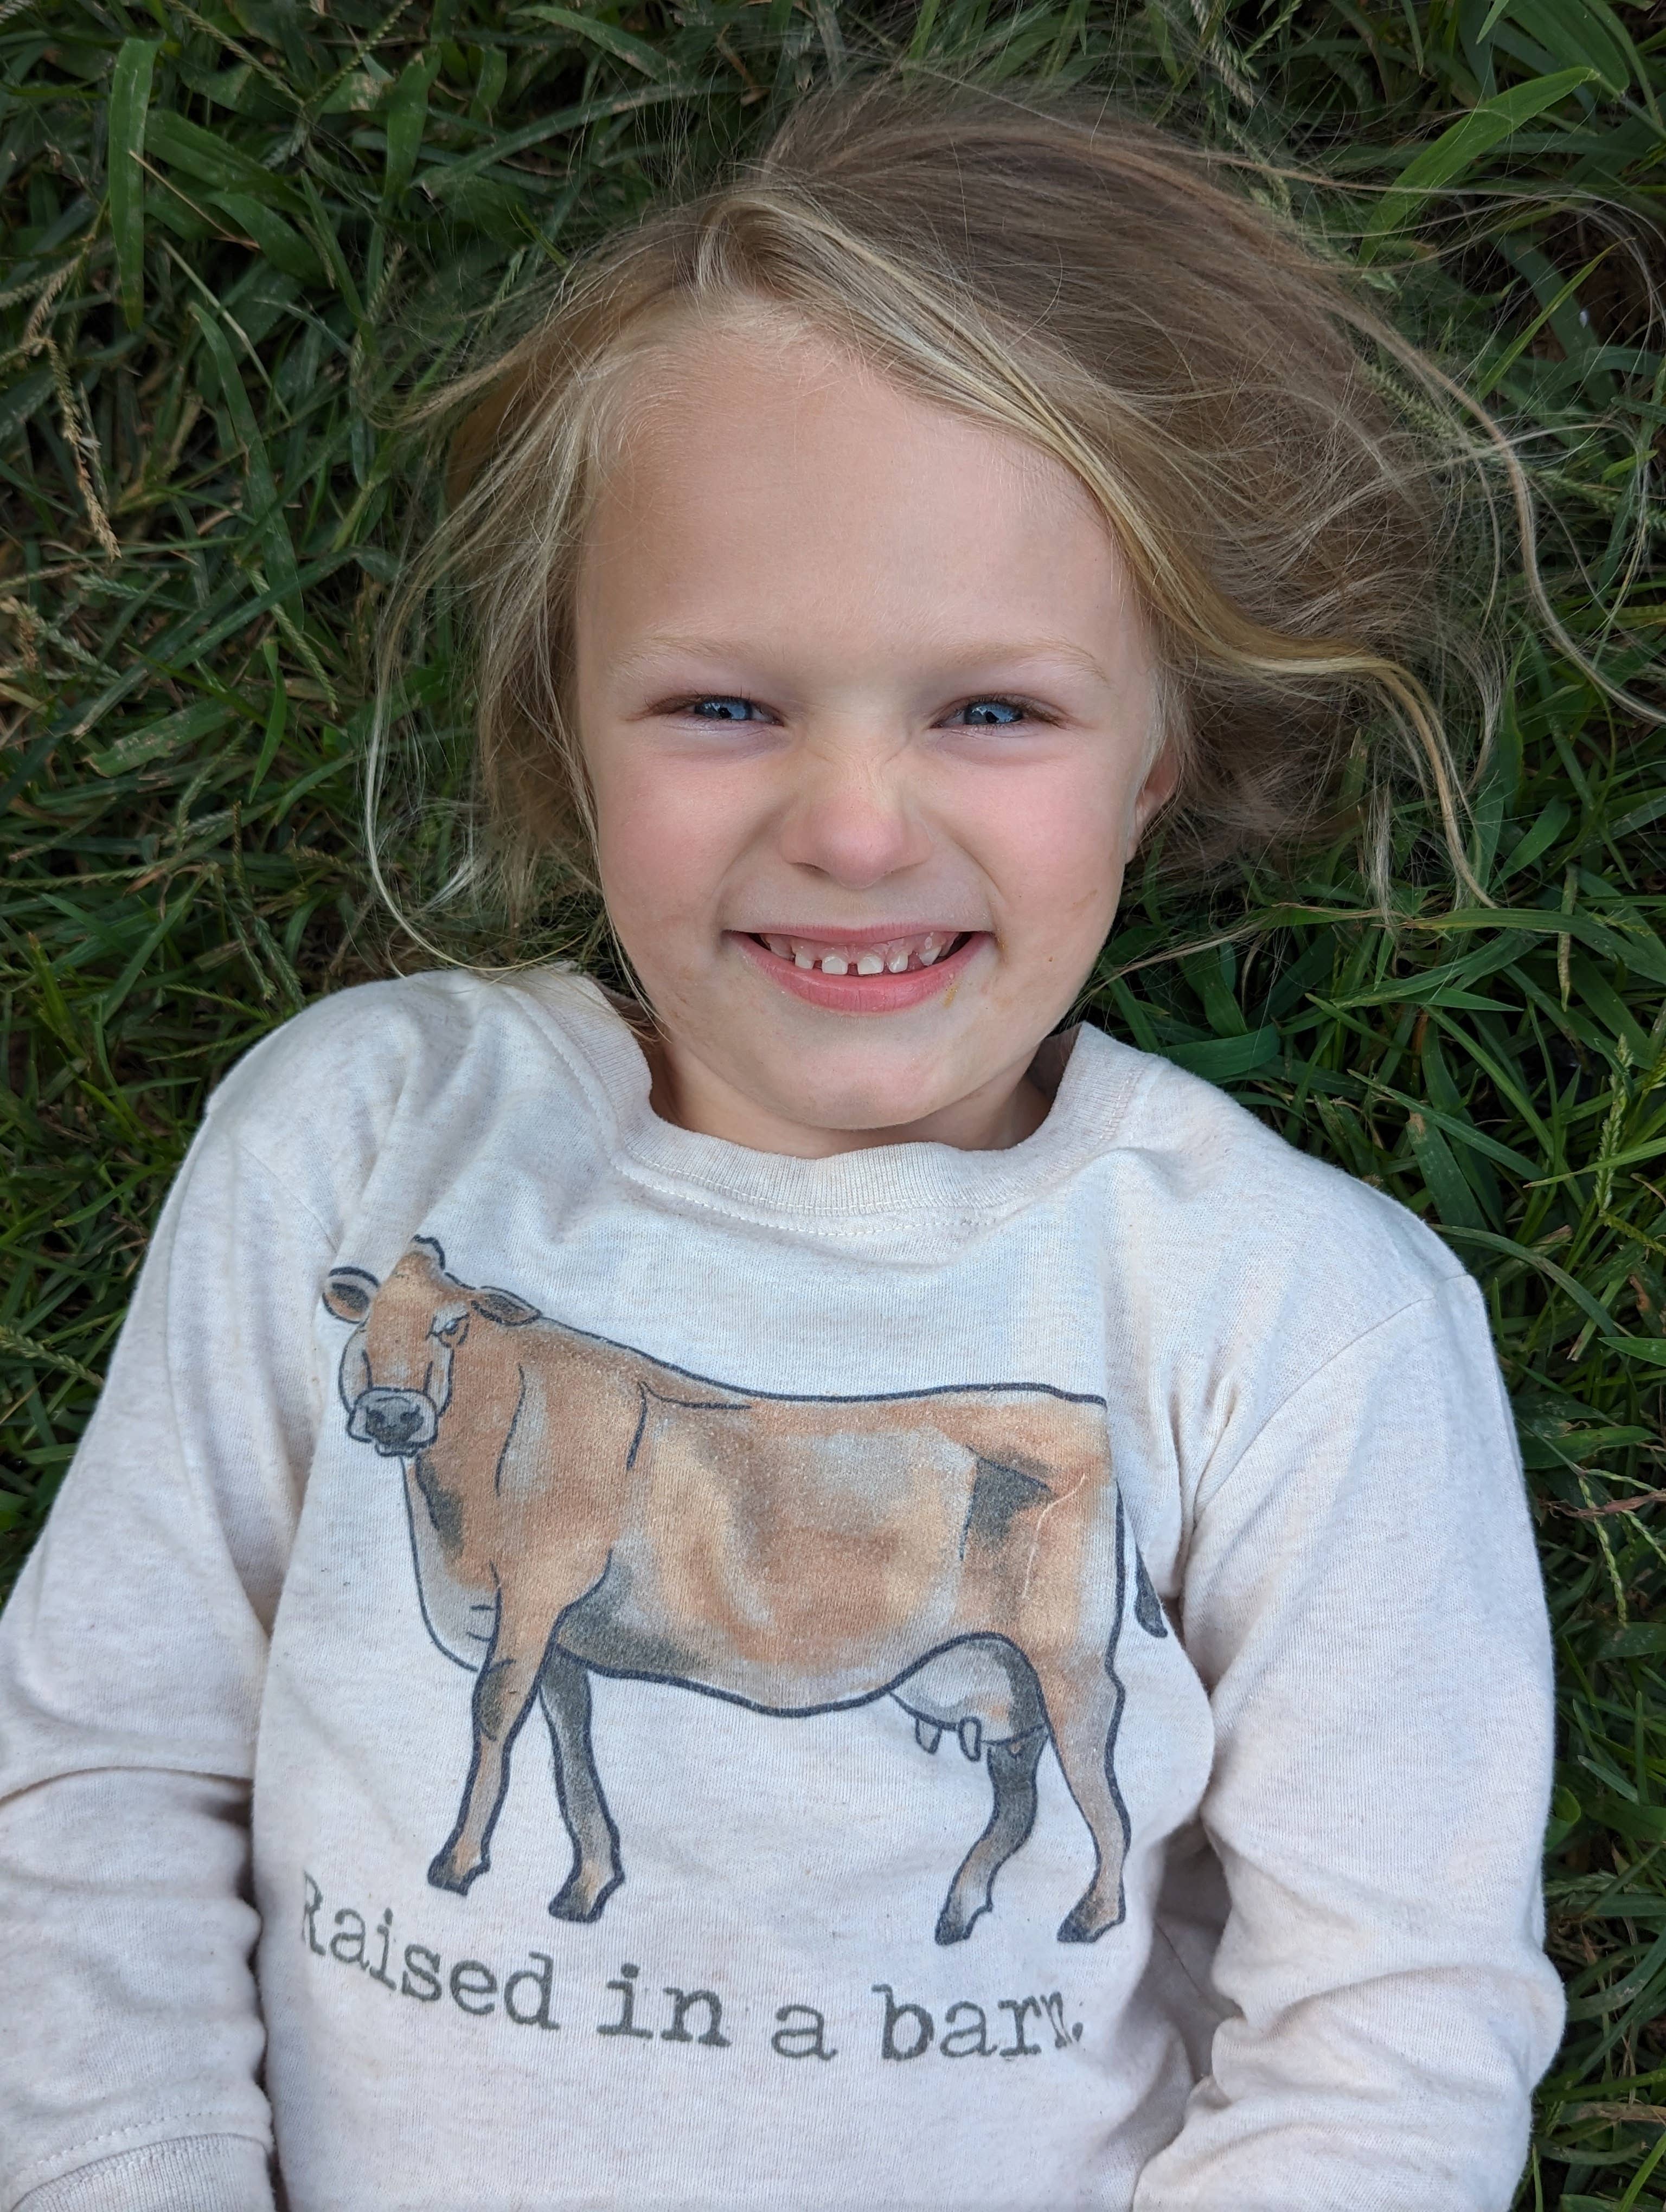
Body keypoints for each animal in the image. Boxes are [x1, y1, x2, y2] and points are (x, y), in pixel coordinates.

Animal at [323, 1237, 1160, 1947]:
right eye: (365, 1321)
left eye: (451, 1326)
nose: (391, 1412)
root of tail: (1080, 1412)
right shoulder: (558, 1638)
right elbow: (572, 1746)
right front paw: (589, 1884)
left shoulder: (533, 1595)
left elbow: (494, 1715)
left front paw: (456, 1863)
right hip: (1003, 1675)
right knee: (1020, 1800)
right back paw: (959, 1911)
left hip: (1069, 1658)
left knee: (1098, 1768)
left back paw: (1092, 1914)